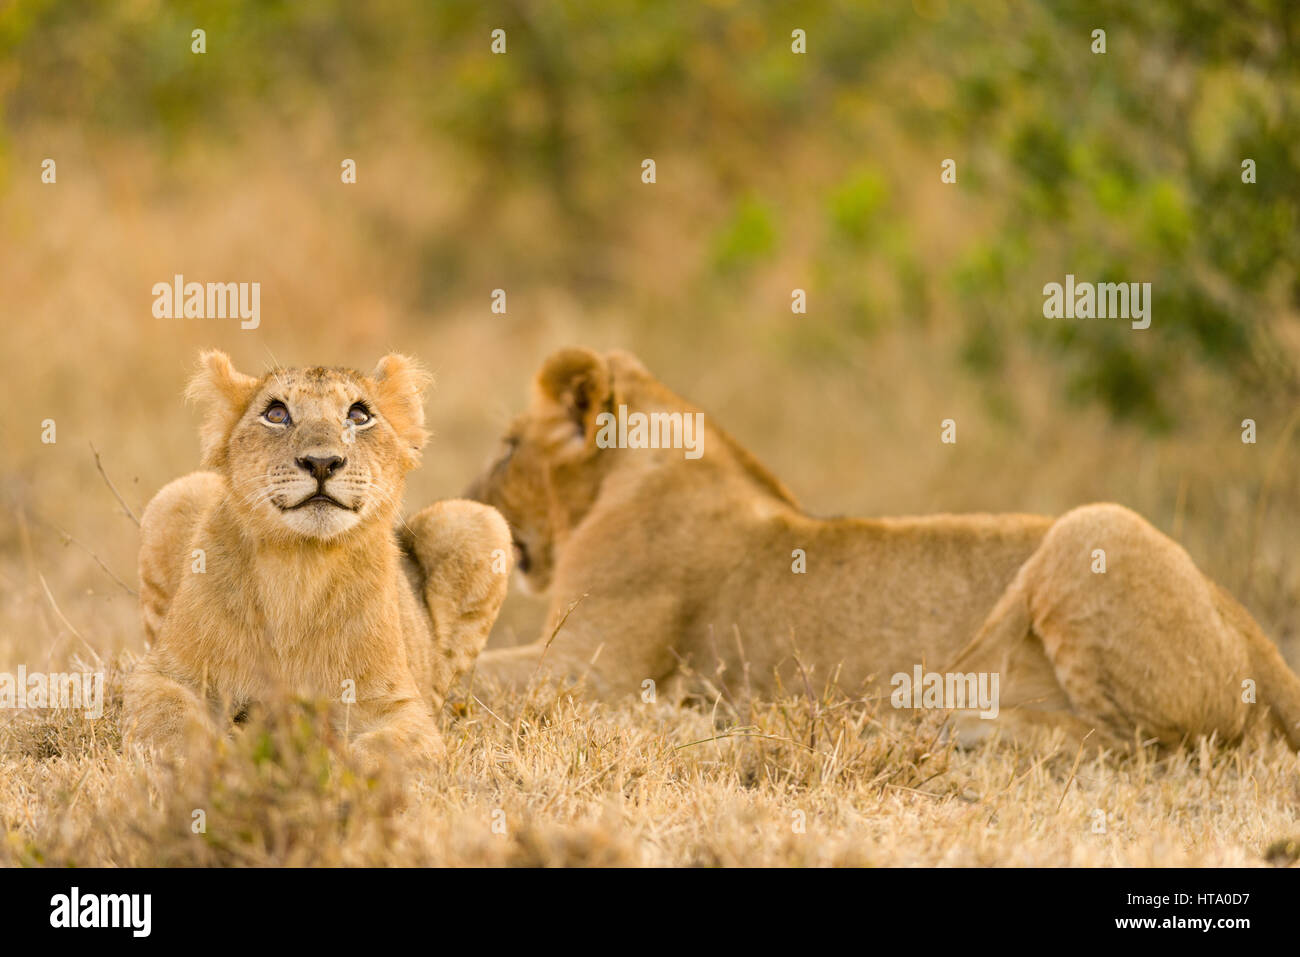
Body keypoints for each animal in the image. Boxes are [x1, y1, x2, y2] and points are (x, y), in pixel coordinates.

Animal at [121, 351, 512, 772]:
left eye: (358, 415)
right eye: (276, 414)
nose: (322, 462)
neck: (299, 565)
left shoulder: (401, 707)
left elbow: (385, 749)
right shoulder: (162, 673)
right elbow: (169, 721)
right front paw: (202, 761)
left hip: (477, 522)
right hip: (177, 495)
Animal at [466, 346, 1300, 752]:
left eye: (506, 446)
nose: (468, 495)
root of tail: (1256, 633)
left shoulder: (600, 672)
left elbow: (474, 673)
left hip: (1091, 528)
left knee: (1141, 744)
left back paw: (958, 725)